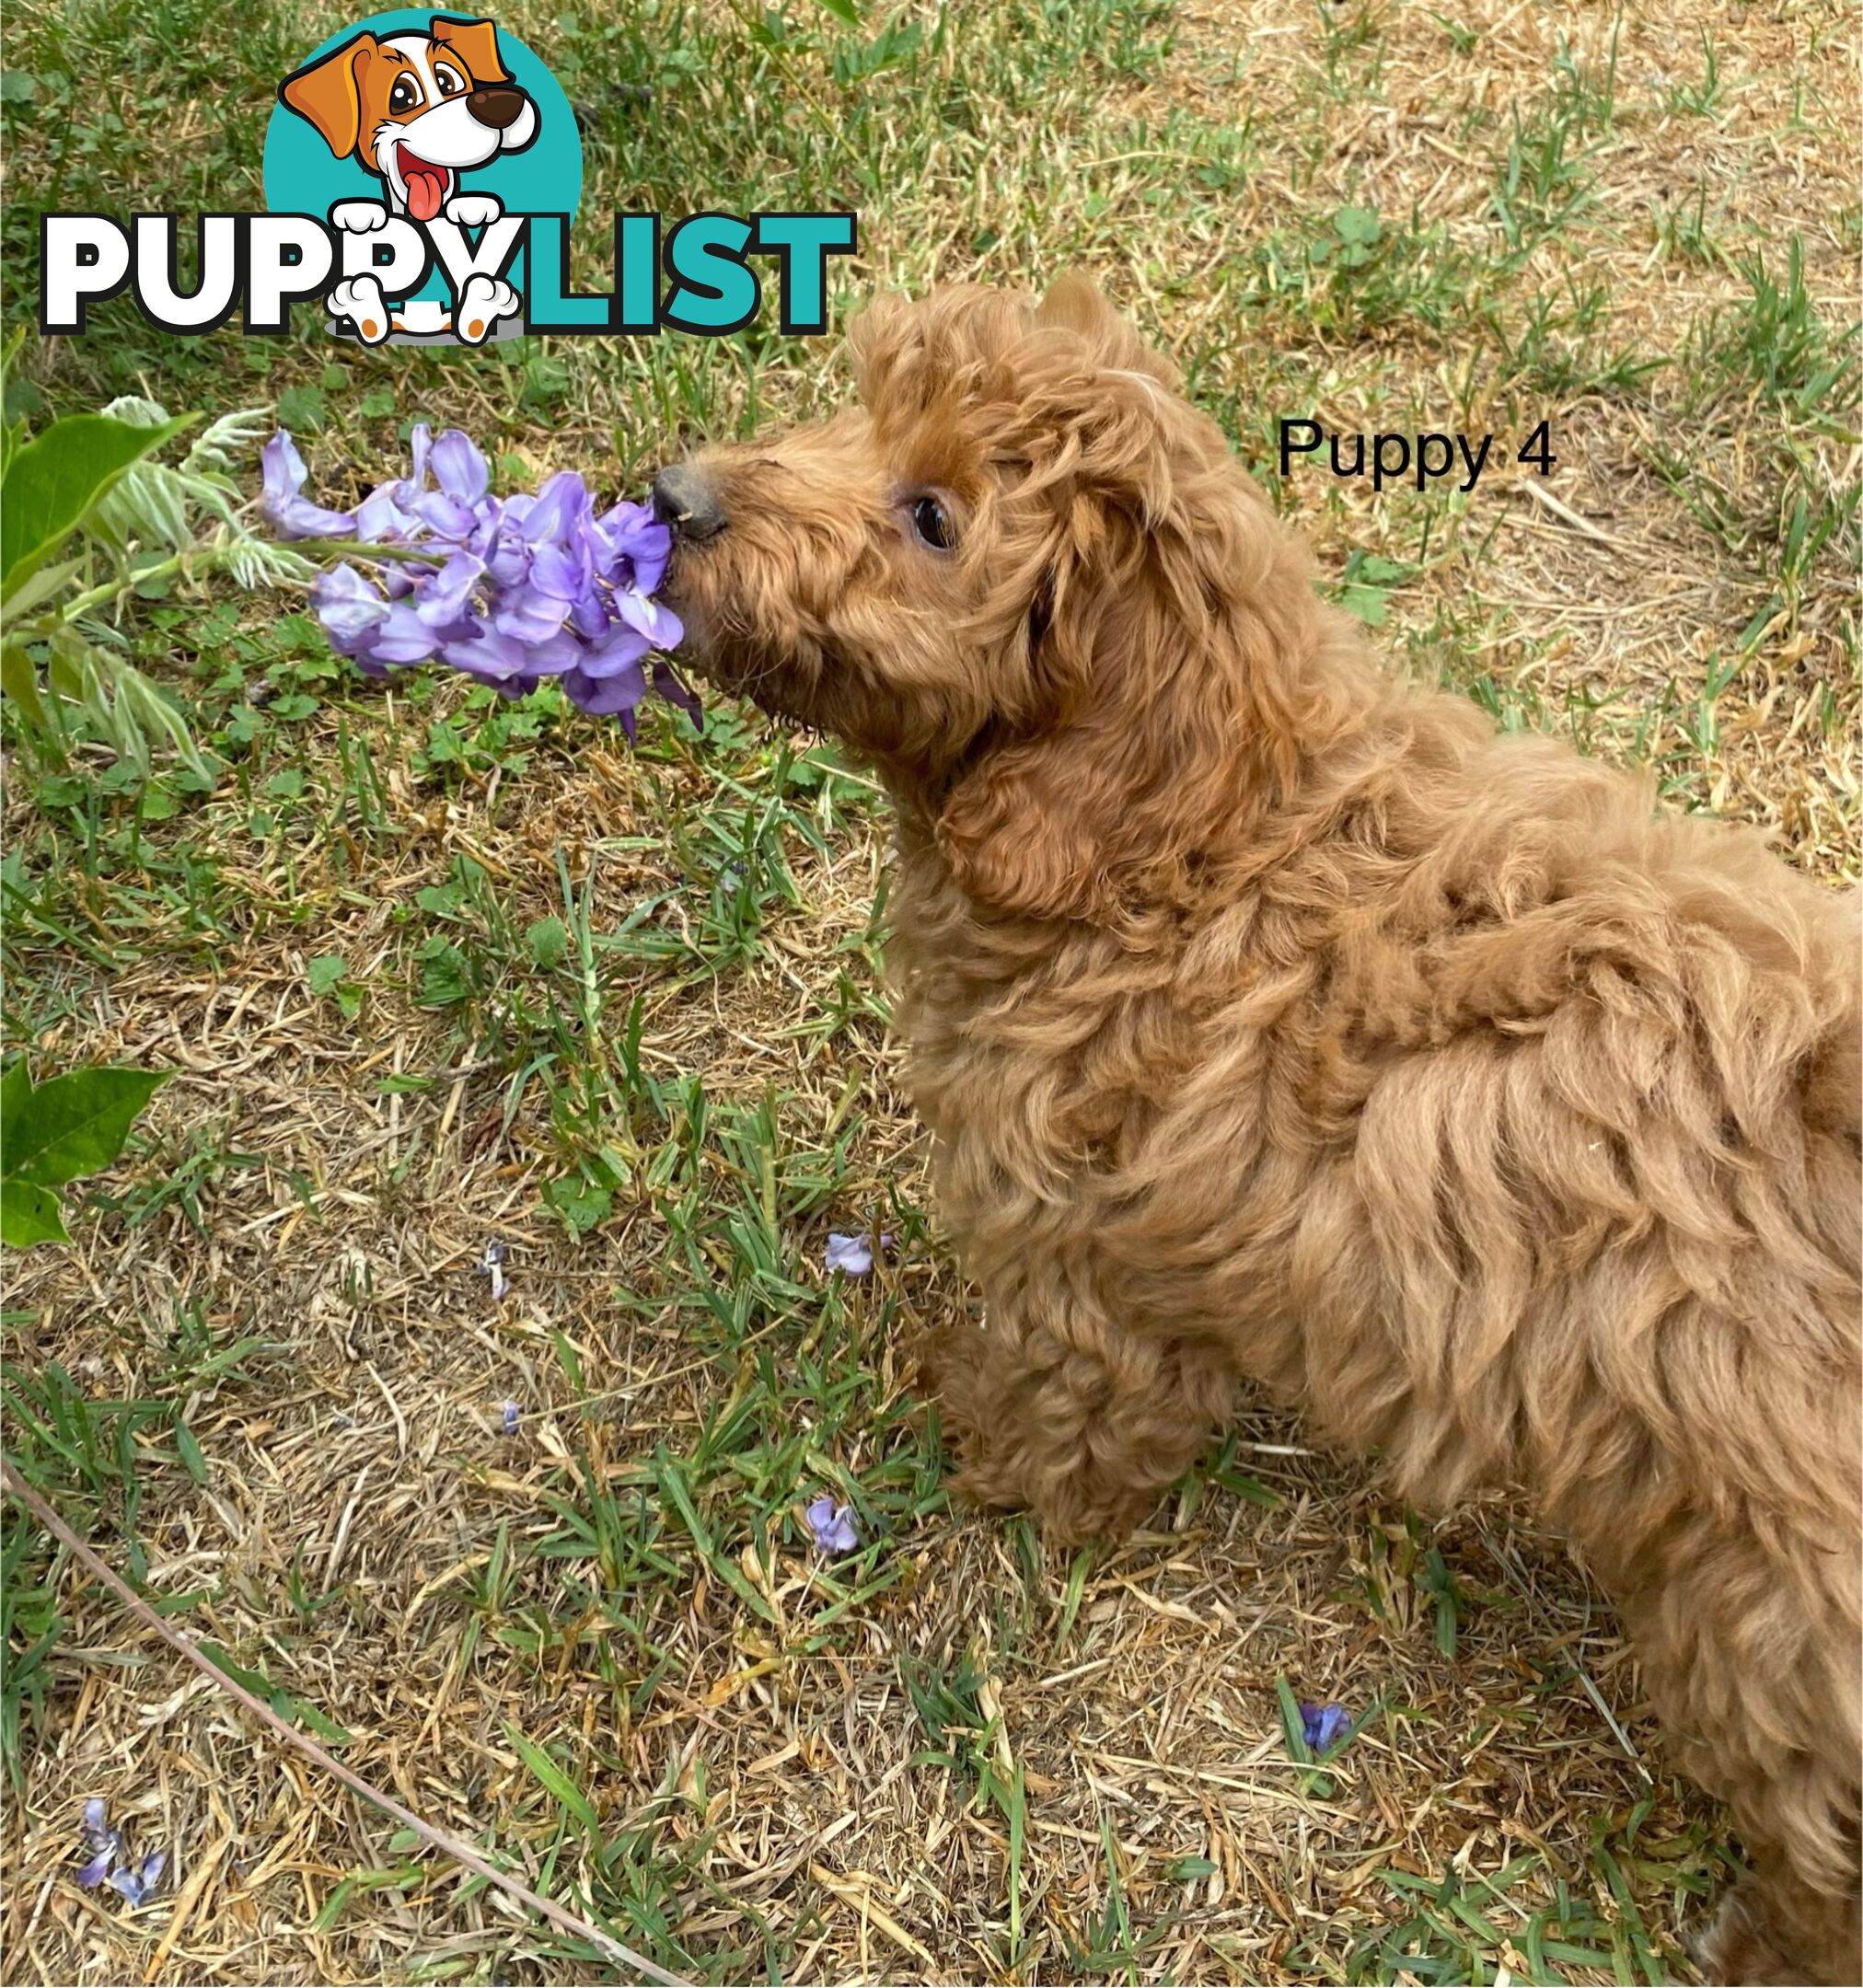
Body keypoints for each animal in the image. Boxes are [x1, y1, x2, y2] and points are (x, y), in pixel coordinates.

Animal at [655, 272, 1860, 1980]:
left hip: (1771, 1607)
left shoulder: (1074, 1242)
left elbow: (1072, 1408)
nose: (670, 499)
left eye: (935, 515)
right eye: (853, 409)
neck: (1194, 830)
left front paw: (989, 1461)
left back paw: (1766, 1939)